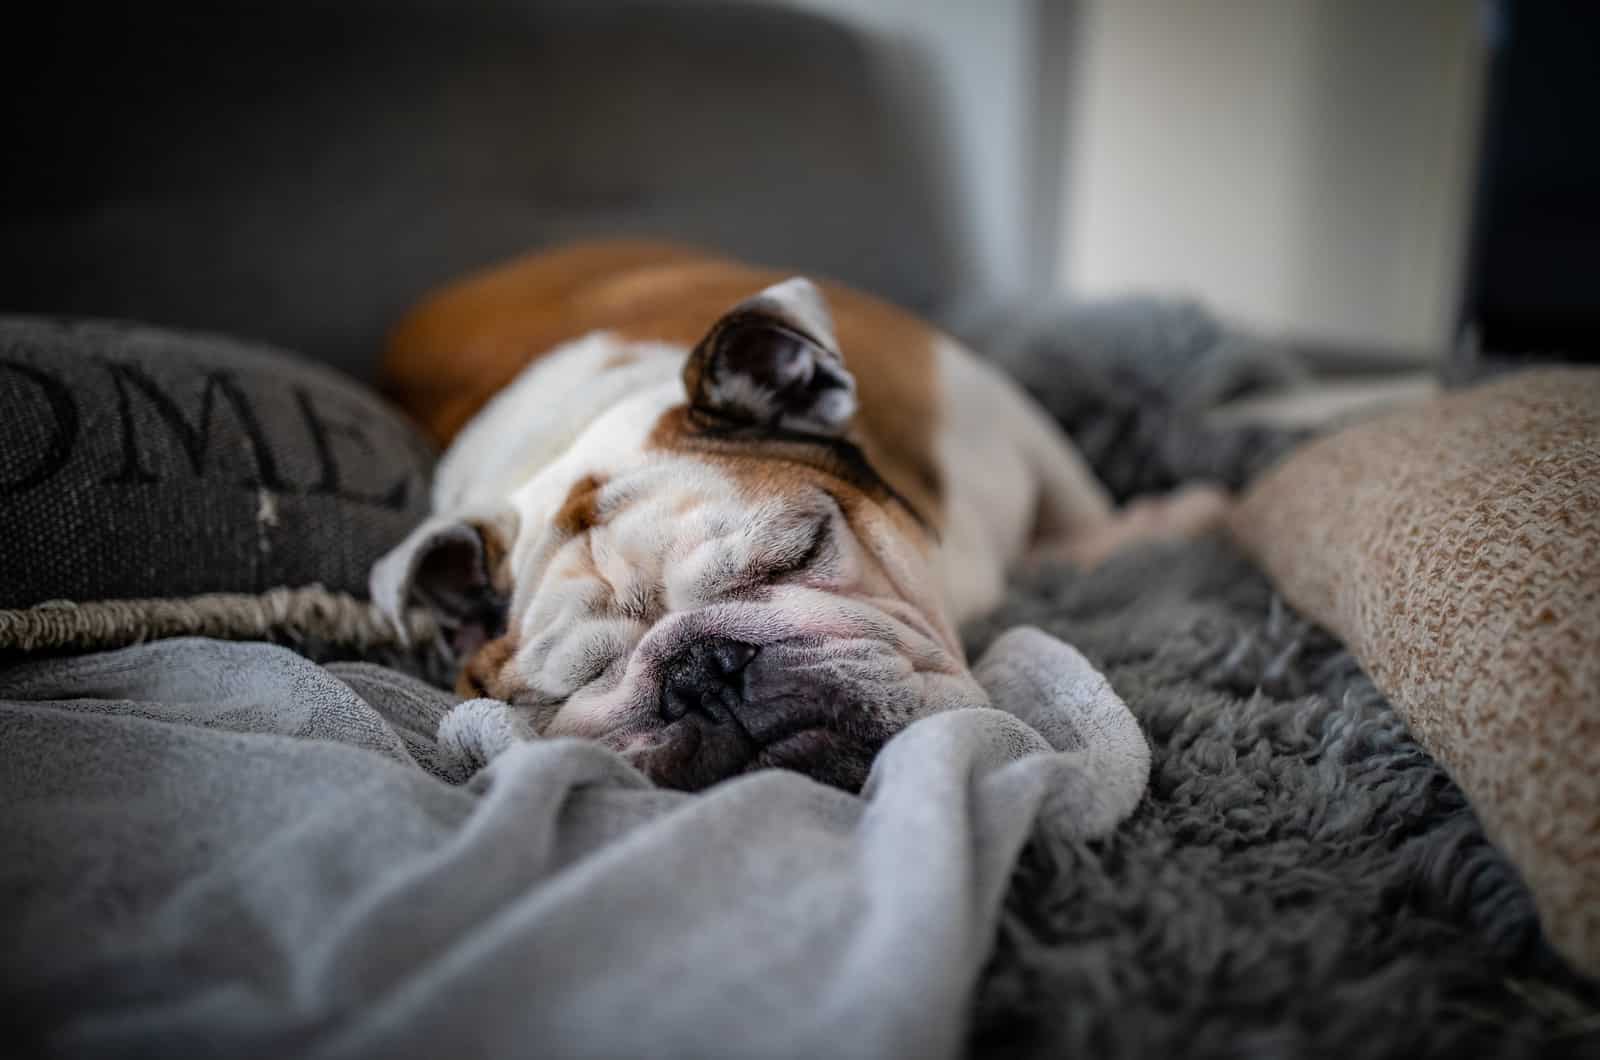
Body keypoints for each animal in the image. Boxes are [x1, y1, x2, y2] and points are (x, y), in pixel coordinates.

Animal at [374, 240, 1222, 787]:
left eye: (800, 551)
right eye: (566, 688)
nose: (702, 671)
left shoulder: (1002, 419)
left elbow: (1084, 515)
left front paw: (1163, 523)